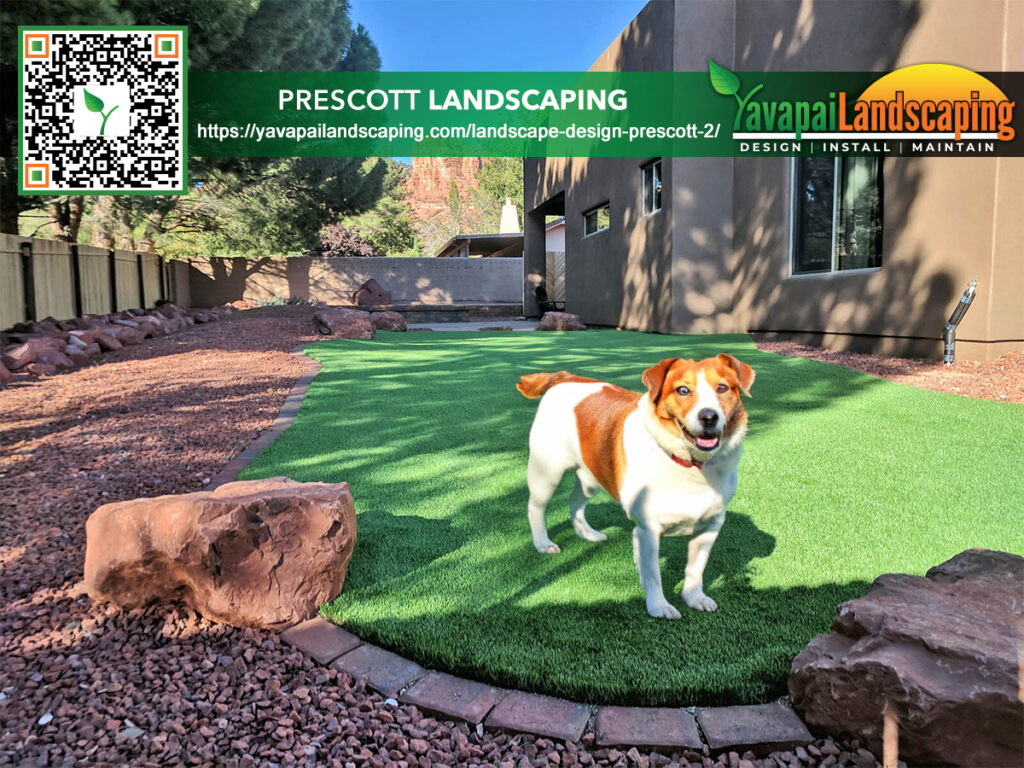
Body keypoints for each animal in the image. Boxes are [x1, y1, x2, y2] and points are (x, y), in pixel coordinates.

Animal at [520, 354, 753, 618]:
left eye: (722, 388)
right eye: (683, 390)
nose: (709, 416)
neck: (690, 465)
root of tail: (566, 376)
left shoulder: (710, 528)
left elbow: (696, 569)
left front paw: (694, 597)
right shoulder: (648, 529)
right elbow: (654, 575)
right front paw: (659, 606)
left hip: (592, 474)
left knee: (575, 501)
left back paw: (587, 533)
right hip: (546, 471)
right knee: (535, 507)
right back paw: (543, 542)